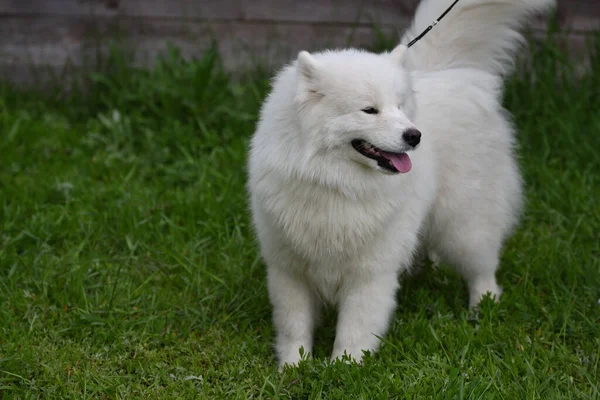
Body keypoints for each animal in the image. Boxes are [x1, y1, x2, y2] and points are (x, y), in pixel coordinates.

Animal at [246, 0, 556, 366]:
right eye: (369, 110)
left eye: (399, 107)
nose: (414, 135)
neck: (334, 182)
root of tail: (447, 72)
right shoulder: (289, 270)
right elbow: (294, 324)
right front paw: (294, 366)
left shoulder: (369, 271)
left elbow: (355, 326)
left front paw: (345, 366)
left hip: (463, 225)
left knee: (482, 265)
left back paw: (484, 305)